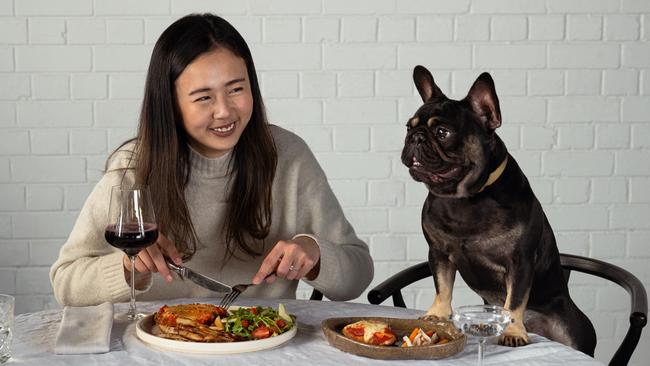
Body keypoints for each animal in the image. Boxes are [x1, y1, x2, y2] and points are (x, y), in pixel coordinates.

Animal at [402, 65, 596, 354]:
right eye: (408, 127)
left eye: (442, 133)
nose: (415, 137)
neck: (465, 199)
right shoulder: (438, 254)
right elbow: (443, 287)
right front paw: (436, 315)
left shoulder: (520, 261)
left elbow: (514, 301)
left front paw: (513, 331)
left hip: (571, 327)